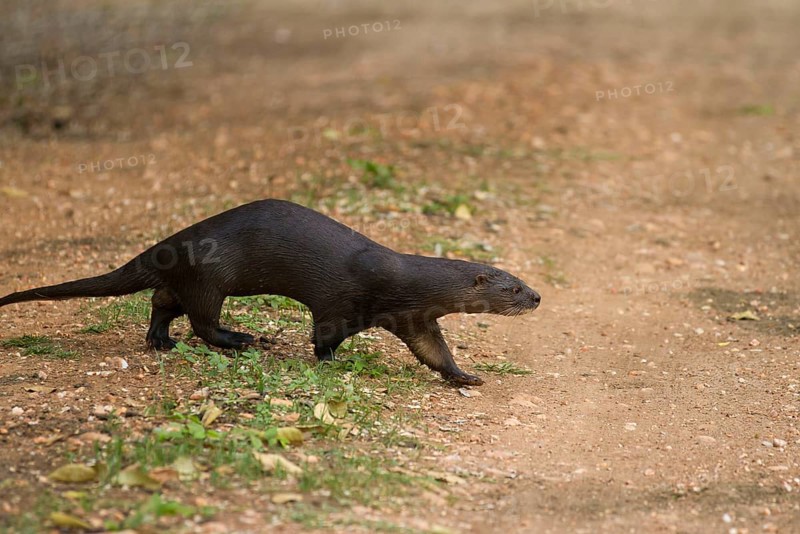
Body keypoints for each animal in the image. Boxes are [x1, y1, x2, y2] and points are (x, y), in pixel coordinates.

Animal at [0, 199, 540, 385]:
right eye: (513, 287)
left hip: (187, 279)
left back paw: (160, 341)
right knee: (203, 321)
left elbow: (434, 352)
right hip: (211, 276)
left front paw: (465, 376)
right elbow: (324, 336)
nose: (537, 298)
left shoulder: (416, 318)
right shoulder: (341, 302)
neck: (402, 280)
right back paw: (244, 340)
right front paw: (330, 362)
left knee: (162, 304)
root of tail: (171, 242)